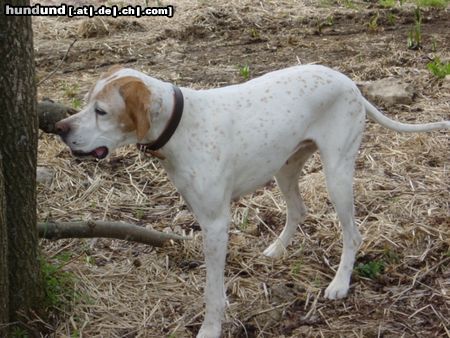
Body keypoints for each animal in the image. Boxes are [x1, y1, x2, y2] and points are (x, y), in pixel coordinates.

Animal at [56, 64, 450, 336]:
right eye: (86, 104)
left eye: (101, 111)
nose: (60, 129)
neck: (181, 124)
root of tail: (349, 82)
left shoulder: (216, 224)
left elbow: (212, 291)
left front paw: (210, 329)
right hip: (286, 167)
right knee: (299, 210)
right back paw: (276, 250)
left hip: (337, 174)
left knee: (353, 234)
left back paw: (339, 284)